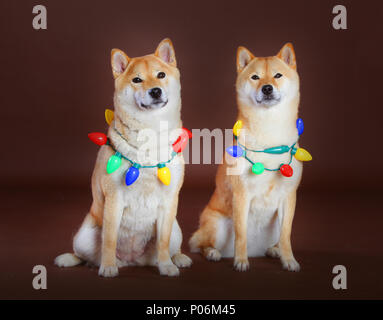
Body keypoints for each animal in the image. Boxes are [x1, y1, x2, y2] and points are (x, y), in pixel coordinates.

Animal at [54, 38, 192, 276]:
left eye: (161, 75)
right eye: (137, 80)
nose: (155, 91)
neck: (151, 133)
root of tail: (133, 261)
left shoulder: (169, 201)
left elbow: (163, 242)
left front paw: (166, 266)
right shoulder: (114, 199)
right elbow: (109, 239)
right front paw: (108, 267)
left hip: (176, 229)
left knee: (170, 246)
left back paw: (178, 258)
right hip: (84, 236)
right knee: (85, 255)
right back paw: (83, 261)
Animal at [190, 43, 304, 272]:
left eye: (277, 75)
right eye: (255, 77)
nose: (267, 88)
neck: (270, 134)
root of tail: (256, 251)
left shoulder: (288, 196)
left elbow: (286, 236)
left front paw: (289, 260)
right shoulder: (241, 195)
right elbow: (241, 234)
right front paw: (241, 261)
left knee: (276, 241)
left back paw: (274, 250)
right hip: (217, 224)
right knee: (201, 244)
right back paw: (214, 253)